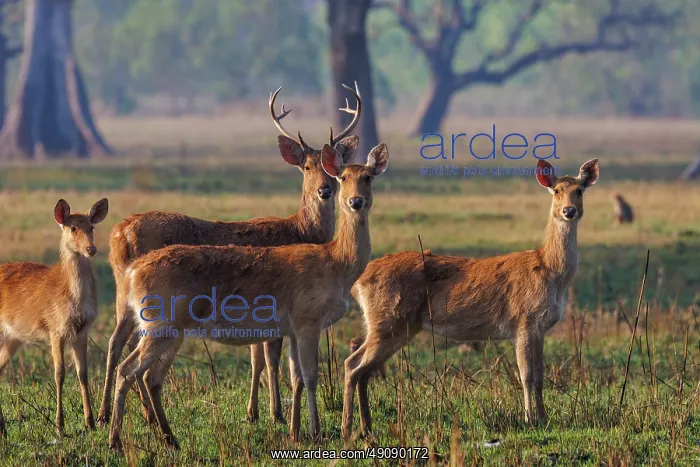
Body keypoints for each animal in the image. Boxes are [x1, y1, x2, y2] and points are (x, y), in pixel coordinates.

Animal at [0, 198, 109, 437]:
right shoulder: (55, 328)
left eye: (92, 226)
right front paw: (59, 426)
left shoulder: (81, 332)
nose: (91, 249)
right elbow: (59, 373)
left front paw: (90, 423)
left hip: (12, 338)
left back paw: (2, 427)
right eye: (73, 228)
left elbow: (83, 372)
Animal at [97, 84, 362, 428]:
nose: (324, 191)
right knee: (130, 345)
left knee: (116, 341)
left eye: (334, 170)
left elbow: (256, 357)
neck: (300, 229)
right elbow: (269, 357)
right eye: (306, 167)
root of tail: (121, 235)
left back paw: (106, 414)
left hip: (122, 291)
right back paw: (141, 414)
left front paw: (255, 411)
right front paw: (274, 413)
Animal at [107, 142, 389, 452]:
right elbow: (310, 376)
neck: (337, 263)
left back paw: (169, 438)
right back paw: (116, 439)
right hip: (161, 325)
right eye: (343, 177)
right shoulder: (308, 320)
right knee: (128, 368)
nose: (355, 201)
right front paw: (313, 432)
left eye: (368, 177)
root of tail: (133, 270)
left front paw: (295, 431)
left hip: (166, 328)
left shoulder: (292, 327)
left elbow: (296, 376)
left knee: (147, 374)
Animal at [341, 159, 599, 439]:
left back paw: (366, 428)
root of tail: (358, 282)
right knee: (353, 363)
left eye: (580, 190)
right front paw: (530, 419)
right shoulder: (523, 321)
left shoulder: (540, 328)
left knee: (364, 369)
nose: (569, 210)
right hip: (386, 319)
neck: (551, 272)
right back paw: (347, 429)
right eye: (557, 191)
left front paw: (544, 417)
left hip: (399, 326)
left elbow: (540, 375)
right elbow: (526, 375)